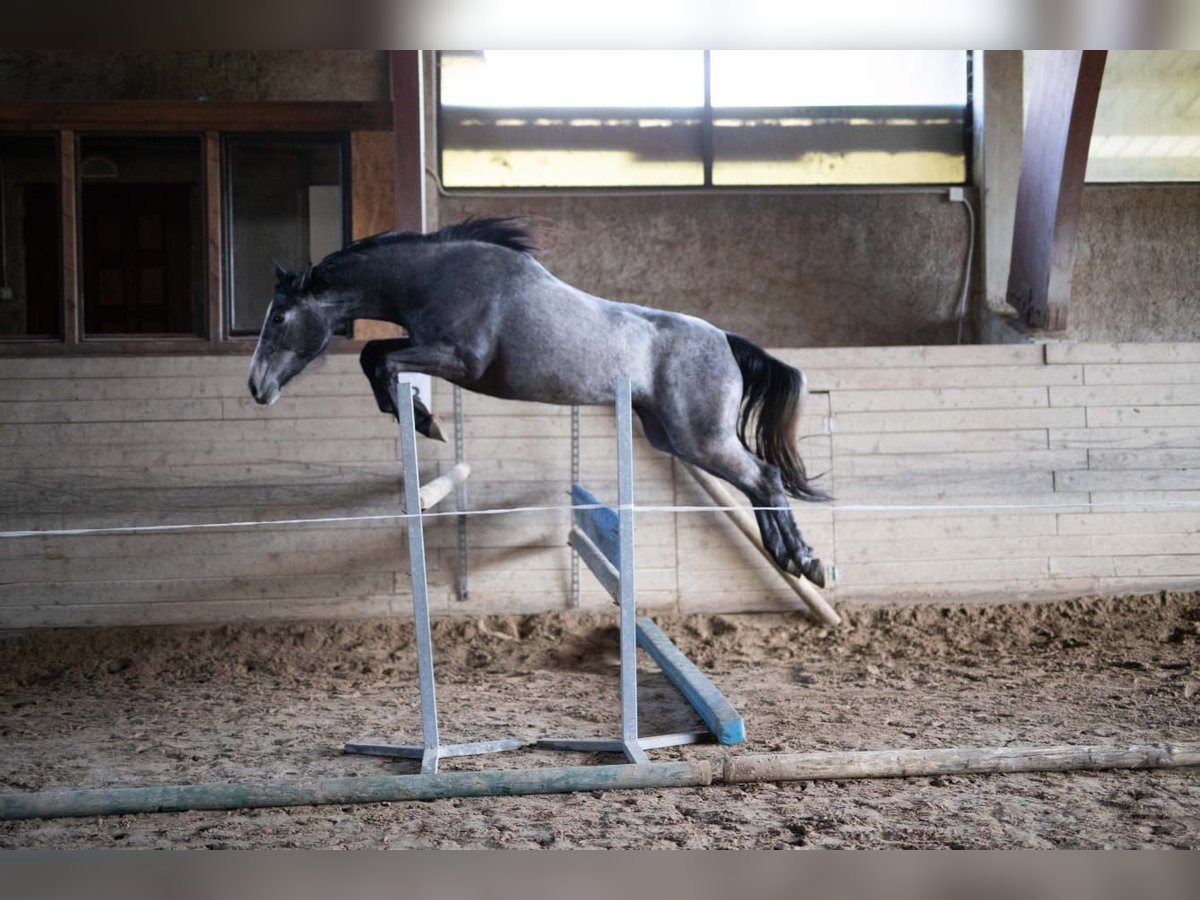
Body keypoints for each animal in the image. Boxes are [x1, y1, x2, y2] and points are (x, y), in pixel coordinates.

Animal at [243, 217, 825, 585]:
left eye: (279, 317)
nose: (256, 387)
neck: (435, 276)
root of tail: (725, 338)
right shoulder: (426, 347)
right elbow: (373, 354)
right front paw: (421, 418)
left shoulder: (460, 361)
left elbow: (381, 361)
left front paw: (427, 423)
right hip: (675, 439)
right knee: (759, 481)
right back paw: (788, 558)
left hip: (700, 439)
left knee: (765, 477)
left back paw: (805, 560)